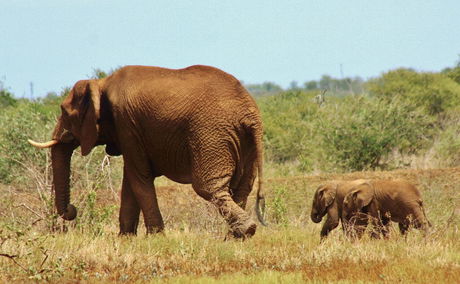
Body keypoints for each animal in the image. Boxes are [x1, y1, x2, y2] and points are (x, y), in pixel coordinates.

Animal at [27, 65, 266, 240]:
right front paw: (125, 238)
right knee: (240, 188)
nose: (72, 210)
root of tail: (249, 111)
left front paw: (155, 237)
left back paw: (245, 231)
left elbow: (138, 177)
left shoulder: (127, 124)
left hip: (210, 134)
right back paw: (235, 236)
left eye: (64, 112)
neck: (101, 83)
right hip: (242, 141)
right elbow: (130, 180)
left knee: (208, 187)